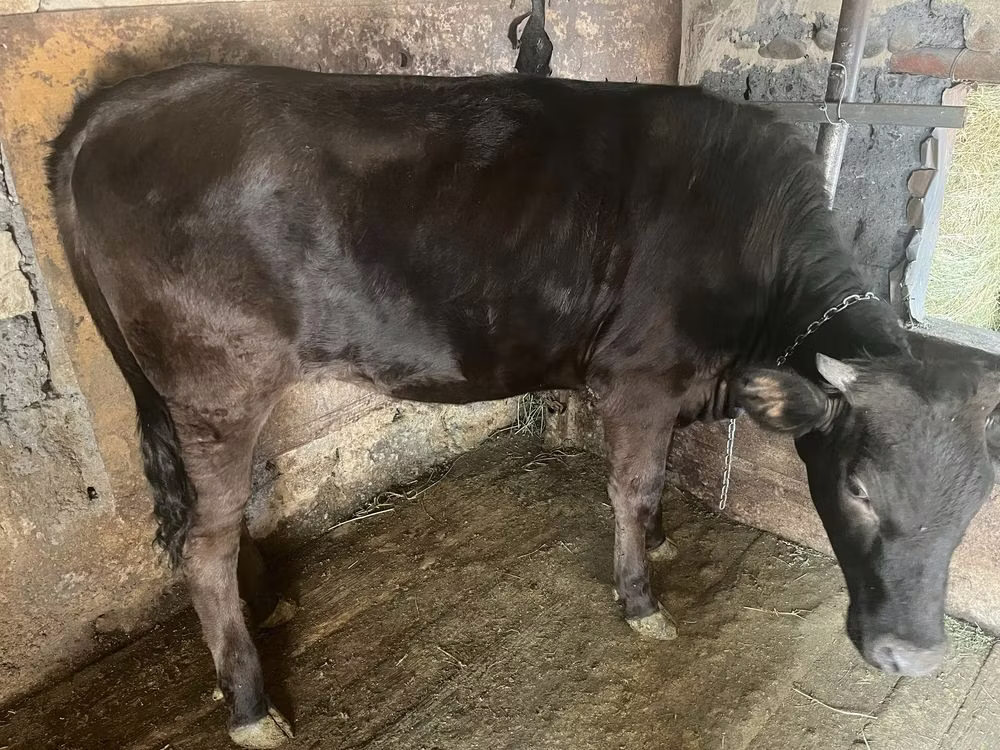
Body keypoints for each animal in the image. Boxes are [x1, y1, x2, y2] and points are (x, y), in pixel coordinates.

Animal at [47, 63, 998, 747]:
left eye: (978, 502)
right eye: (860, 489)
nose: (912, 658)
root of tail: (115, 104)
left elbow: (651, 486)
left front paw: (659, 544)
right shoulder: (641, 379)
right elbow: (633, 488)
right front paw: (641, 599)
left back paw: (262, 605)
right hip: (218, 381)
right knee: (200, 545)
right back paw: (250, 706)